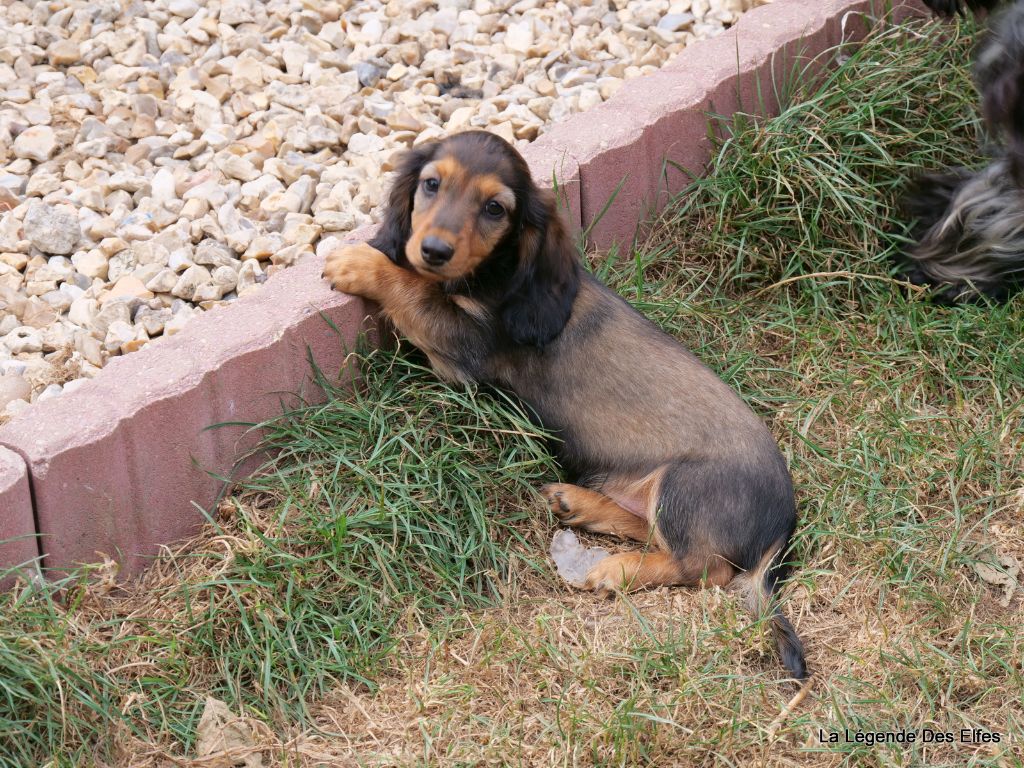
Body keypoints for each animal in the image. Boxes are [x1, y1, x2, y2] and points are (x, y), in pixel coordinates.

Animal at [325, 132, 806, 679]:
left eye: (495, 208)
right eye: (431, 184)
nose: (433, 250)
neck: (495, 275)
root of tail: (783, 525)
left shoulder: (461, 349)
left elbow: (414, 291)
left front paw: (358, 264)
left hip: (685, 486)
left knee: (705, 566)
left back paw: (616, 569)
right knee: (649, 527)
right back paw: (576, 502)